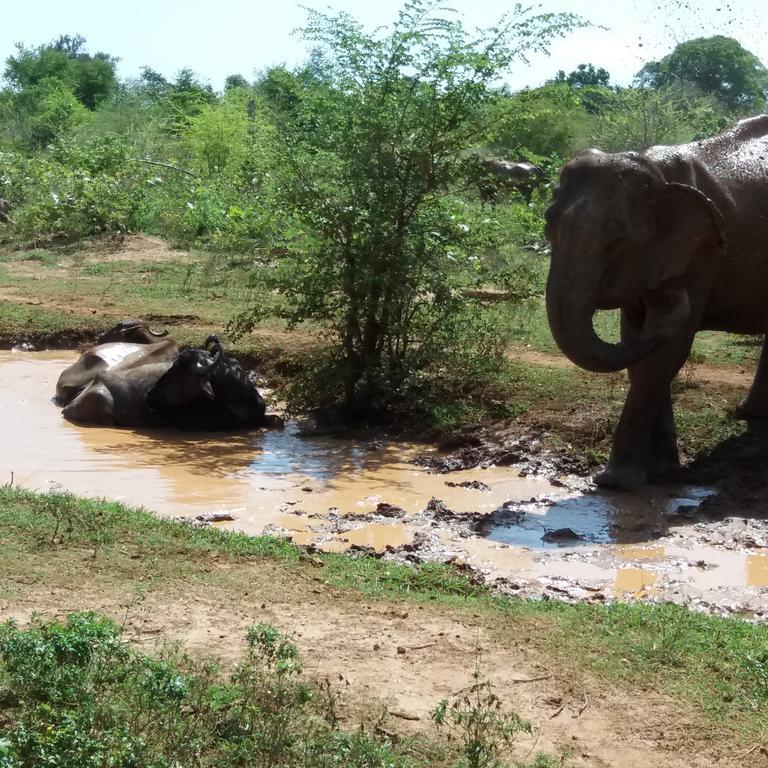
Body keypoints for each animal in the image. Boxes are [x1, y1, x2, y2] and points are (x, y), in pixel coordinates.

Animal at [544, 114, 768, 486]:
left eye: (618, 238)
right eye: (549, 225)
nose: (672, 296)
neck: (657, 172)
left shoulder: (703, 250)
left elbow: (667, 354)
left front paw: (617, 483)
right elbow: (637, 345)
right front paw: (663, 473)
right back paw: (750, 415)